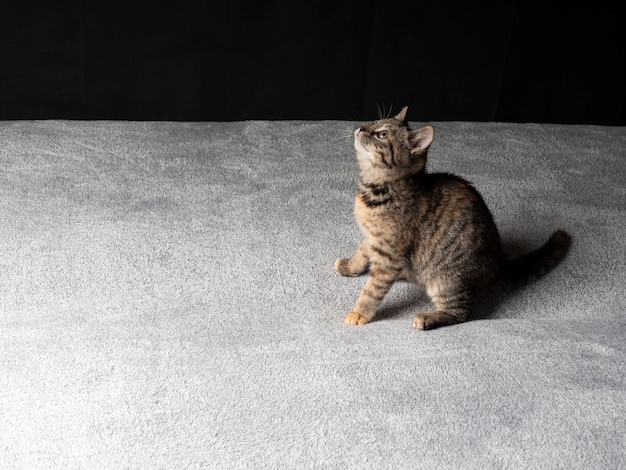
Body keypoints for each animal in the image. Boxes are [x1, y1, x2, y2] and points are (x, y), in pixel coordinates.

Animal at [336, 107, 572, 328]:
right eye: (375, 121)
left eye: (382, 135)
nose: (361, 128)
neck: (377, 188)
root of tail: (500, 265)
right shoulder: (372, 238)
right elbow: (361, 250)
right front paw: (351, 266)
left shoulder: (390, 253)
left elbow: (373, 289)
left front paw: (359, 312)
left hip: (446, 280)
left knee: (460, 313)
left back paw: (428, 317)